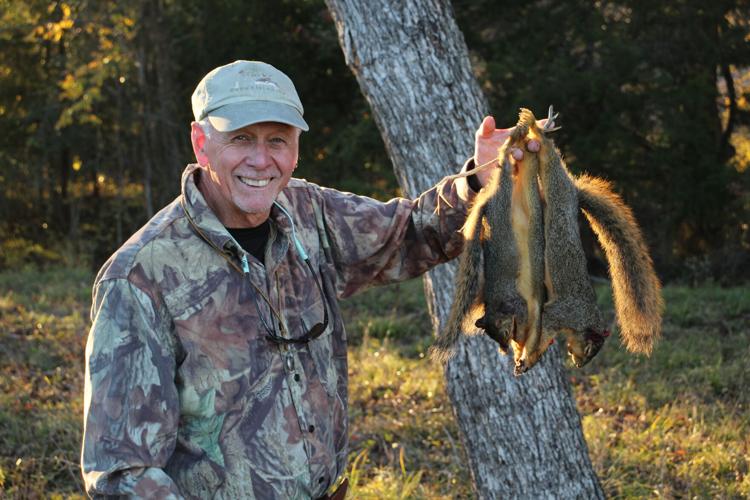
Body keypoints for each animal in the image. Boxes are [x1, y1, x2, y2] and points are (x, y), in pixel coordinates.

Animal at [431, 107, 663, 373]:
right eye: (592, 348)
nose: (579, 364)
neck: (585, 319)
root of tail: (573, 192)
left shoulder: (552, 314)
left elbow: (538, 332)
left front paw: (525, 356)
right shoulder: (560, 313)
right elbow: (540, 329)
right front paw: (524, 355)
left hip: (540, 191)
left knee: (525, 162)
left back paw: (527, 133)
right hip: (547, 188)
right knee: (539, 157)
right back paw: (533, 128)